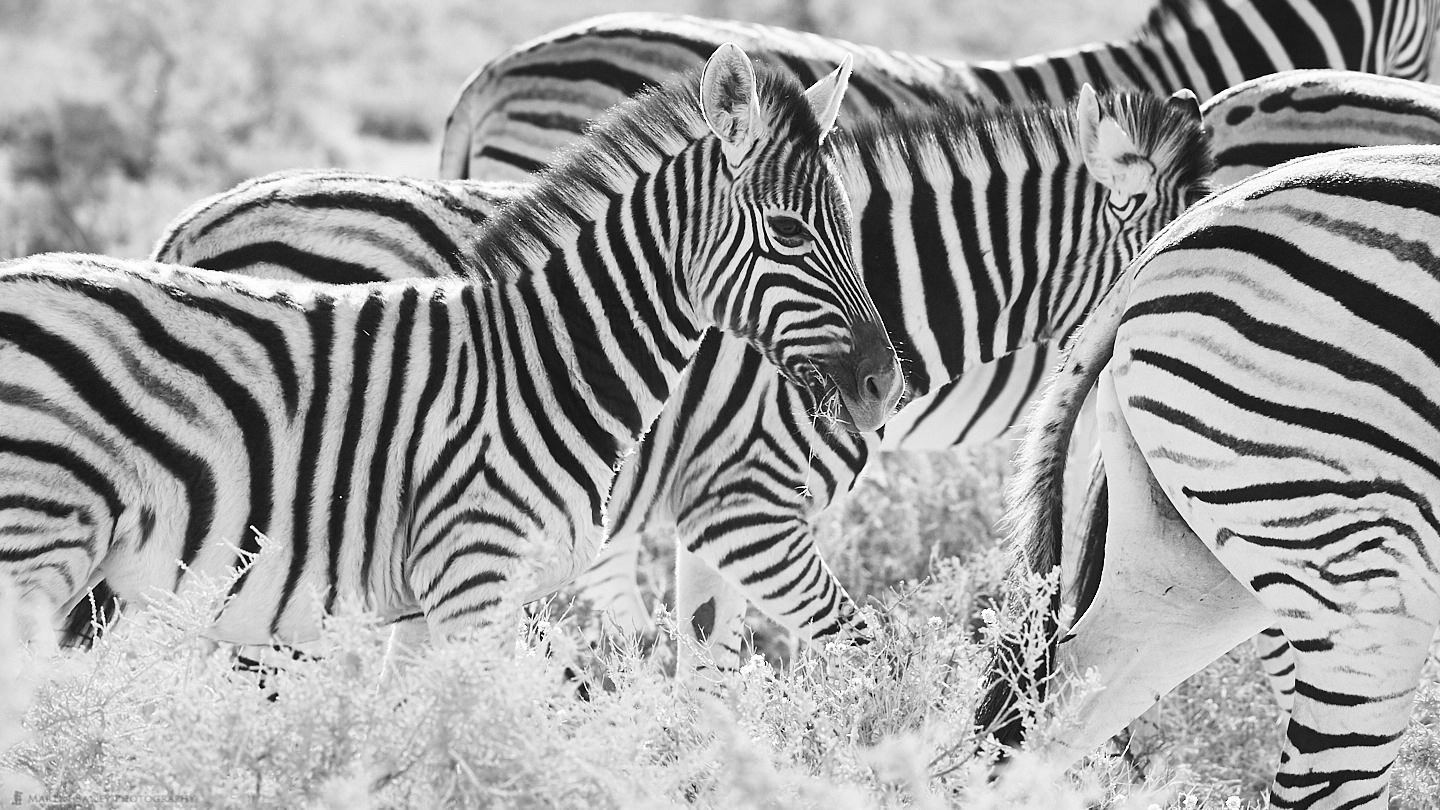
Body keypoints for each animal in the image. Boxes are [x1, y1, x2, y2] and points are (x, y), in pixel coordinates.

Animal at [2, 42, 898, 648]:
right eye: (788, 232)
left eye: (853, 225)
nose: (887, 384)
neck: (548, 362)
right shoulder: (475, 575)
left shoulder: (423, 607)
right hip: (36, 548)